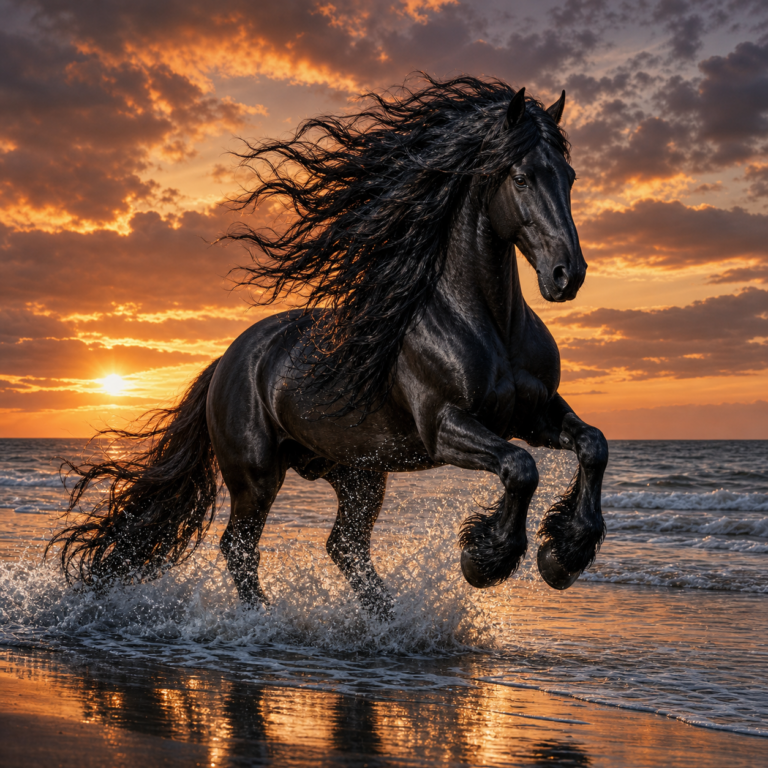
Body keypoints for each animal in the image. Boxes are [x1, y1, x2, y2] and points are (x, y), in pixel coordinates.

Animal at [48, 76, 608, 617]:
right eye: (522, 177)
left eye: (570, 177)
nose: (568, 274)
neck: (486, 323)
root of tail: (228, 360)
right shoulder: (445, 424)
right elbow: (520, 468)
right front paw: (485, 560)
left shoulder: (534, 414)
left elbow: (592, 445)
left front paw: (563, 555)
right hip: (256, 476)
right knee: (241, 546)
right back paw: (264, 619)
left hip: (358, 474)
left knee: (345, 546)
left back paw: (389, 621)